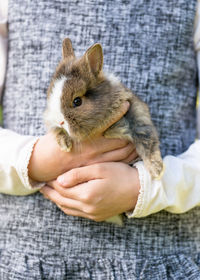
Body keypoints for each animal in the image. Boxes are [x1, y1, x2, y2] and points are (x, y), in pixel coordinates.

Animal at [43, 37, 162, 225]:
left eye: (77, 101)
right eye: (50, 95)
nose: (60, 121)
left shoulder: (137, 114)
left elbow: (146, 139)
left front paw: (157, 171)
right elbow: (55, 132)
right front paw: (64, 144)